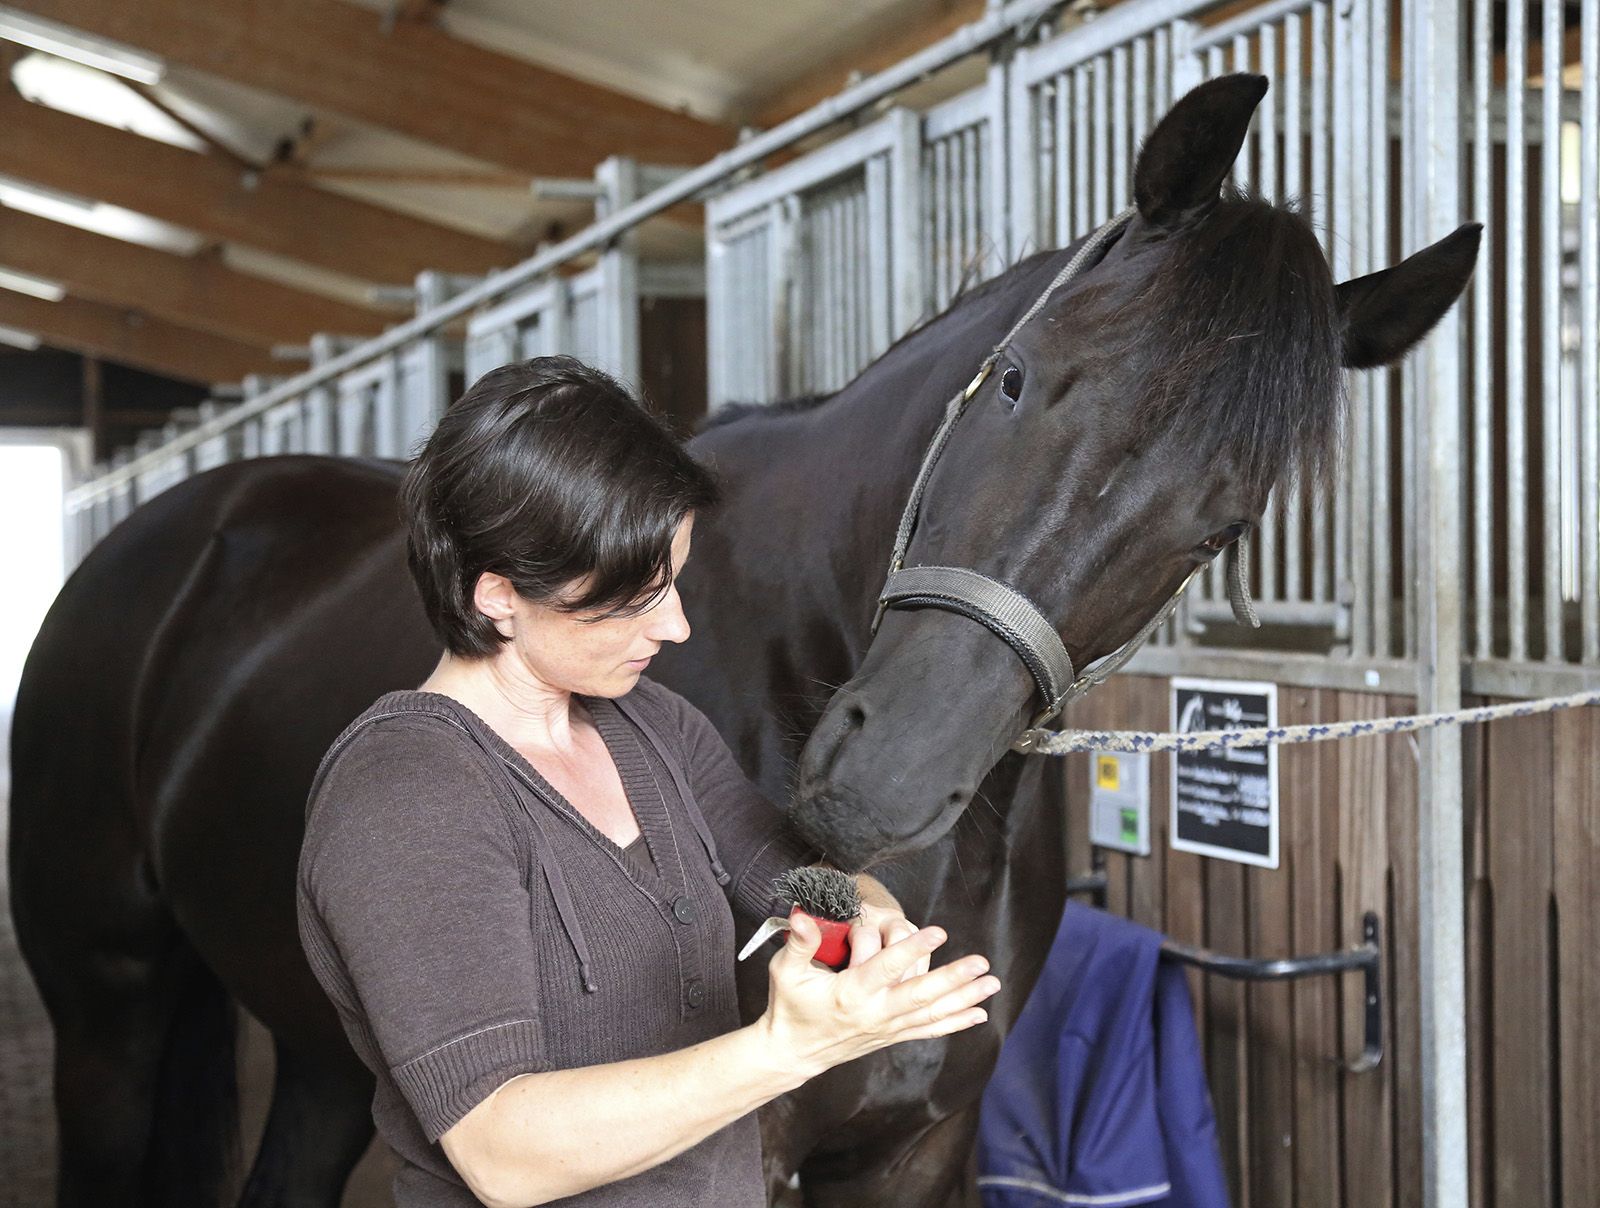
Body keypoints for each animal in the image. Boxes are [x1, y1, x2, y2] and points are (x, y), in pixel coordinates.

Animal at [9, 74, 1478, 1207]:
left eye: (1218, 524)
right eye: (1016, 381)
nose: (880, 782)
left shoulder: (916, 1149)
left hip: (326, 1048)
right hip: (108, 1006)